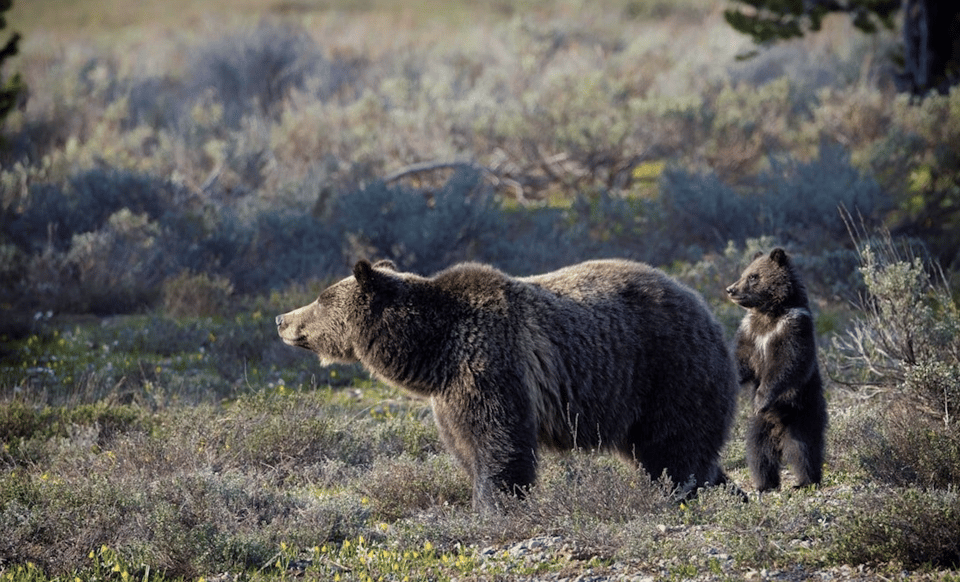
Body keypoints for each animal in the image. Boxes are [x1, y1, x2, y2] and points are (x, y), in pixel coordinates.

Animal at [278, 260, 744, 512]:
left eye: (321, 298)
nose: (282, 319)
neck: (433, 348)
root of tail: (708, 309)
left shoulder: (489, 362)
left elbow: (499, 441)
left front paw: (494, 506)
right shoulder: (448, 396)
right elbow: (466, 447)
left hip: (668, 369)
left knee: (674, 447)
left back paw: (675, 493)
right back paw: (725, 490)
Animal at [728, 249, 824, 496]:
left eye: (753, 276)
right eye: (744, 273)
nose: (731, 289)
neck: (769, 314)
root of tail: (778, 431)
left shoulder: (792, 328)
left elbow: (786, 366)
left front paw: (761, 398)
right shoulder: (750, 333)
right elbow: (741, 360)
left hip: (802, 412)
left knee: (803, 449)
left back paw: (805, 481)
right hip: (760, 426)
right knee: (758, 452)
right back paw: (765, 484)